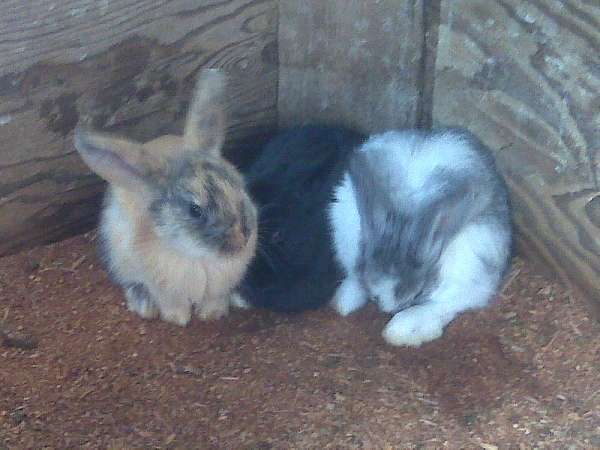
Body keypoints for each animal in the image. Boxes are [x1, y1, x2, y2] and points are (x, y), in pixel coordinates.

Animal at [73, 69, 258, 326]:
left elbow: (215, 299)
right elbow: (171, 304)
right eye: (195, 210)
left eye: (238, 186)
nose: (242, 241)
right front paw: (179, 320)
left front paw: (211, 315)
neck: (196, 256)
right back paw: (143, 304)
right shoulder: (163, 288)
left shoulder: (218, 288)